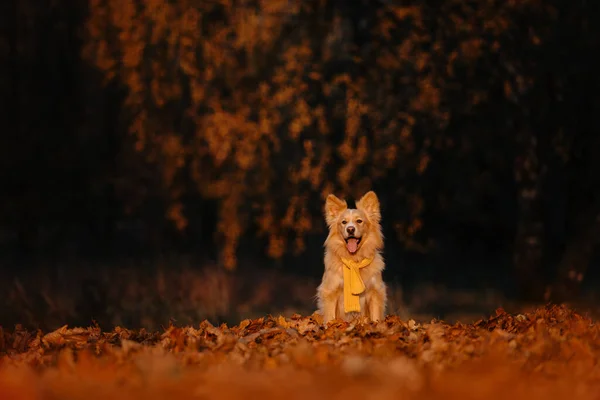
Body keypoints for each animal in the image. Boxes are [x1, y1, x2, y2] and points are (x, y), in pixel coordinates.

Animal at [316, 191, 386, 324]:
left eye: (359, 221)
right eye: (344, 222)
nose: (350, 229)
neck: (354, 260)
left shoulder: (375, 292)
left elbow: (375, 318)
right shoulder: (330, 292)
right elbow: (330, 318)